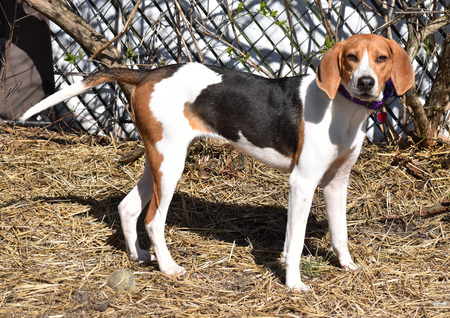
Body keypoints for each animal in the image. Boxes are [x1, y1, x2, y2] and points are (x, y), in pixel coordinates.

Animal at [21, 33, 414, 292]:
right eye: (351, 57)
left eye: (381, 58)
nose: (365, 83)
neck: (342, 108)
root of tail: (148, 73)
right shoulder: (301, 183)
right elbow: (296, 242)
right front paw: (294, 284)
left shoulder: (336, 183)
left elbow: (340, 233)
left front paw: (347, 265)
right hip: (171, 164)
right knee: (152, 219)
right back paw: (169, 267)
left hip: (158, 159)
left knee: (128, 207)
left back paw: (139, 257)